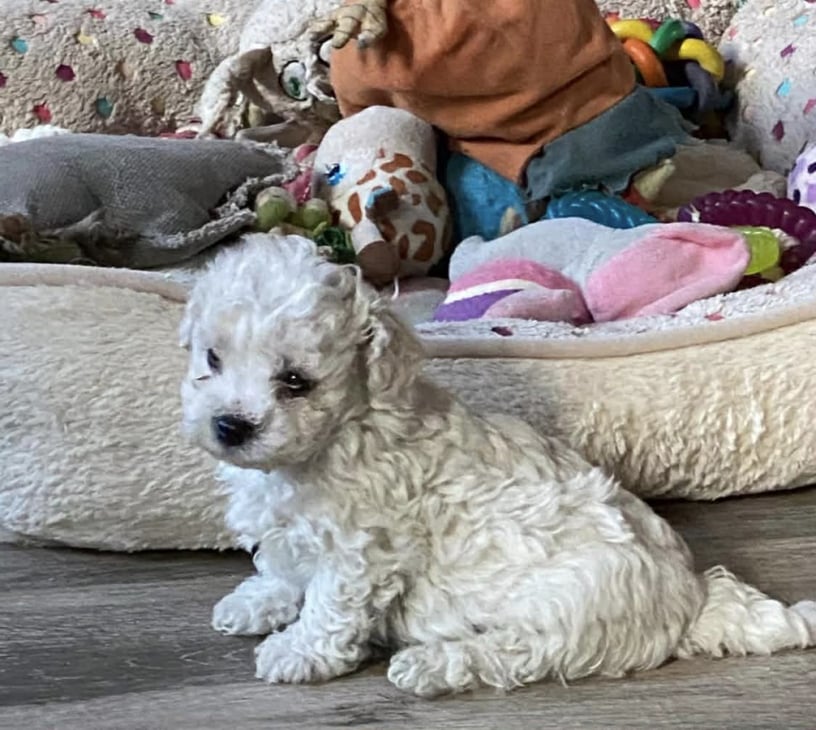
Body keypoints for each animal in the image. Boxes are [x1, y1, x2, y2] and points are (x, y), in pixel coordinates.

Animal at [180, 233, 816, 696]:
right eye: (212, 358)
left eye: (295, 381)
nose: (230, 426)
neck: (334, 436)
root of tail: (689, 598)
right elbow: (286, 568)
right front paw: (259, 600)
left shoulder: (361, 550)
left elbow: (331, 606)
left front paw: (297, 650)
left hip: (568, 609)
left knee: (518, 654)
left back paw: (429, 665)